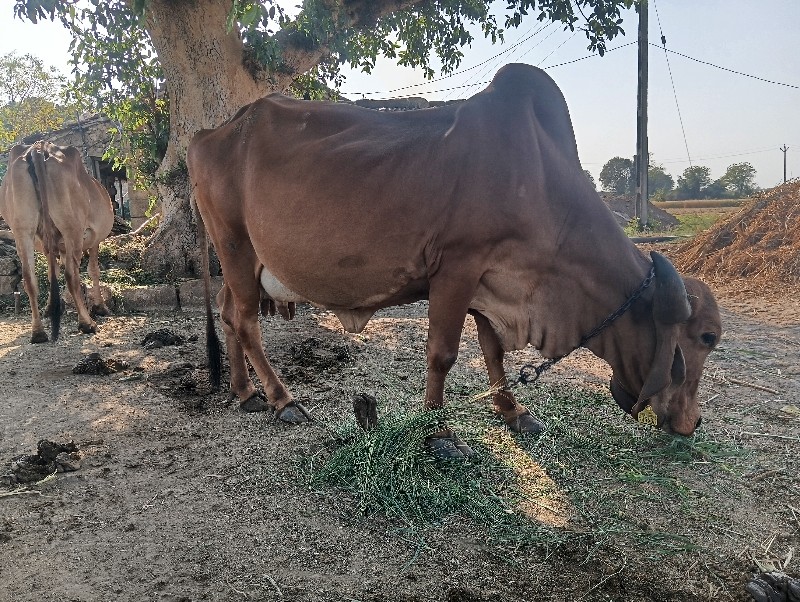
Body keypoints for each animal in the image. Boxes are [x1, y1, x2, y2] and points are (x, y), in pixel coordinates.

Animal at [0, 138, 114, 340]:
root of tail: (38, 148)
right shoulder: (94, 240)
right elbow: (93, 270)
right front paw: (100, 307)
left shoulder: (49, 247)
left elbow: (51, 272)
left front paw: (50, 307)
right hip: (71, 229)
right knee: (71, 275)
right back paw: (86, 323)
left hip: (22, 230)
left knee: (29, 278)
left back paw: (38, 332)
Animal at [189, 64, 724, 454]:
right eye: (705, 337)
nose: (691, 423)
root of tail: (206, 135)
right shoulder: (458, 268)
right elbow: (442, 354)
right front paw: (439, 432)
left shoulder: (492, 281)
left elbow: (492, 351)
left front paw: (513, 412)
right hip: (235, 246)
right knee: (245, 322)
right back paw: (281, 399)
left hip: (239, 261)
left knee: (229, 313)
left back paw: (245, 393)